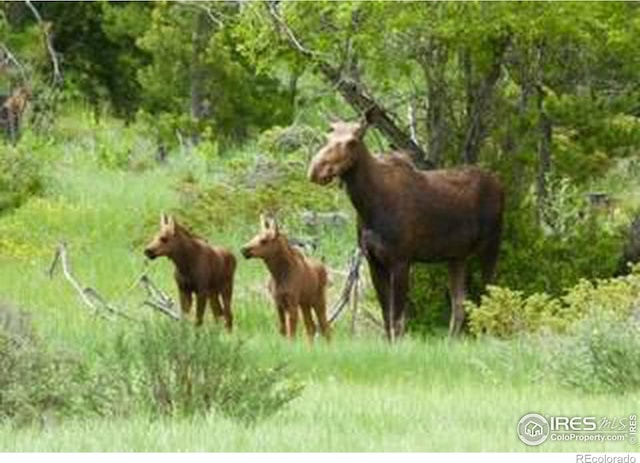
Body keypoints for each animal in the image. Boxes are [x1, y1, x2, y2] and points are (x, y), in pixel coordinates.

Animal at [308, 122, 504, 340]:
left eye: (352, 142)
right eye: (328, 137)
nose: (316, 169)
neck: (367, 206)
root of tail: (500, 185)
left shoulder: (401, 260)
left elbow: (398, 319)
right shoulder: (373, 260)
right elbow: (387, 317)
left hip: (491, 245)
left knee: (488, 293)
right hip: (457, 256)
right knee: (459, 302)